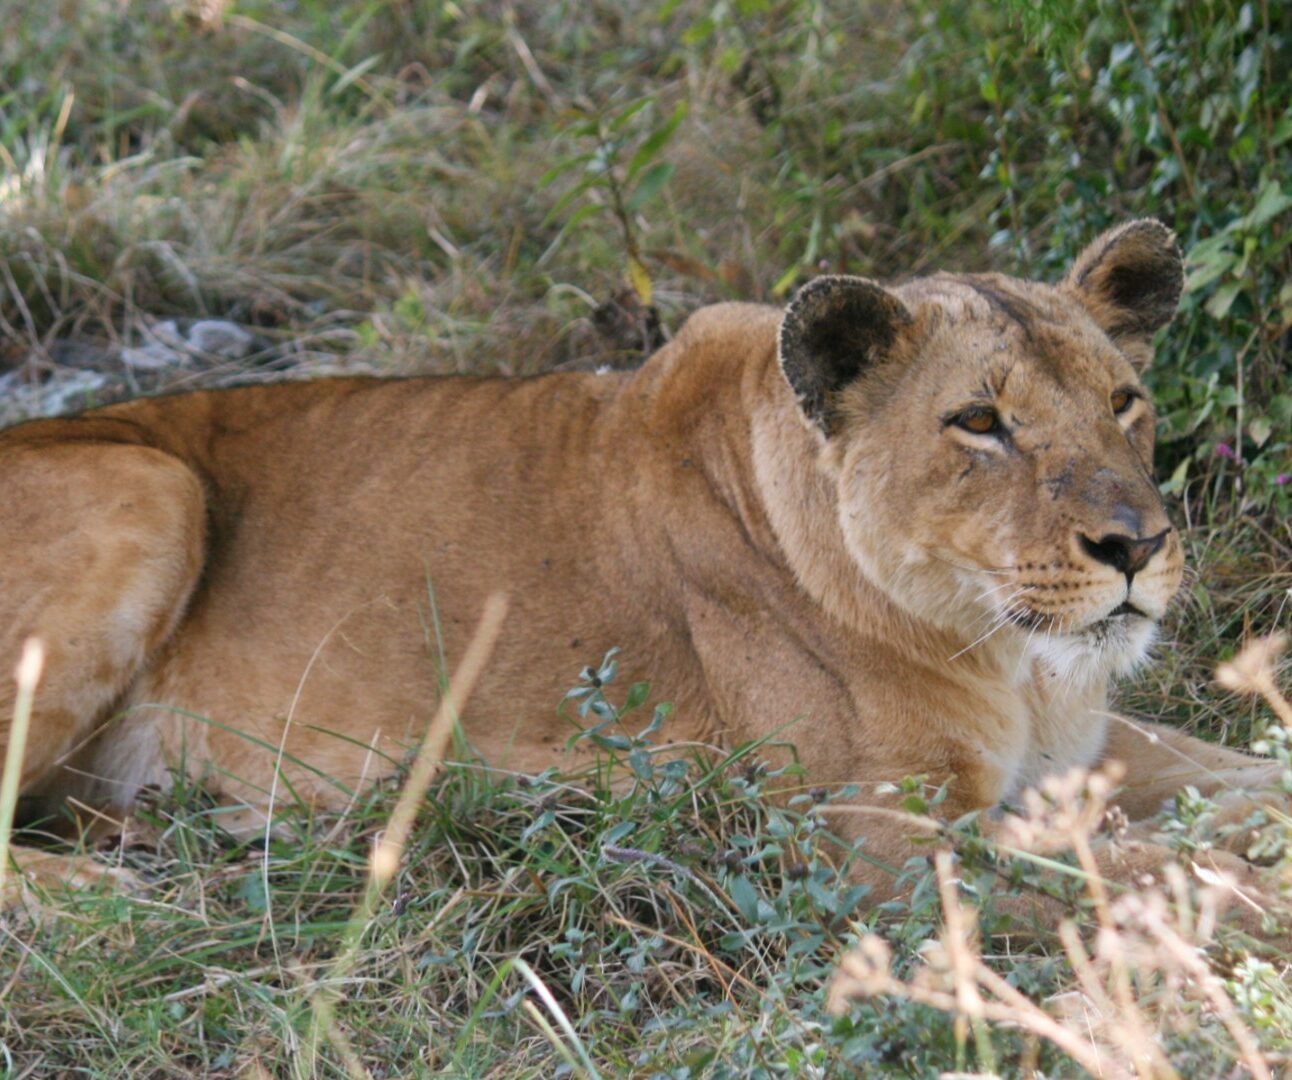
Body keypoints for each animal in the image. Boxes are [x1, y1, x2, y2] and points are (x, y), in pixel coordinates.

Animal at [0, 219, 1284, 931]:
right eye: (978, 423)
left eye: (1122, 400)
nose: (1136, 546)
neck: (1013, 659)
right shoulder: (864, 837)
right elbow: (1140, 872)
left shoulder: (1077, 750)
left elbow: (1227, 781)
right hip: (146, 485)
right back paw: (129, 897)